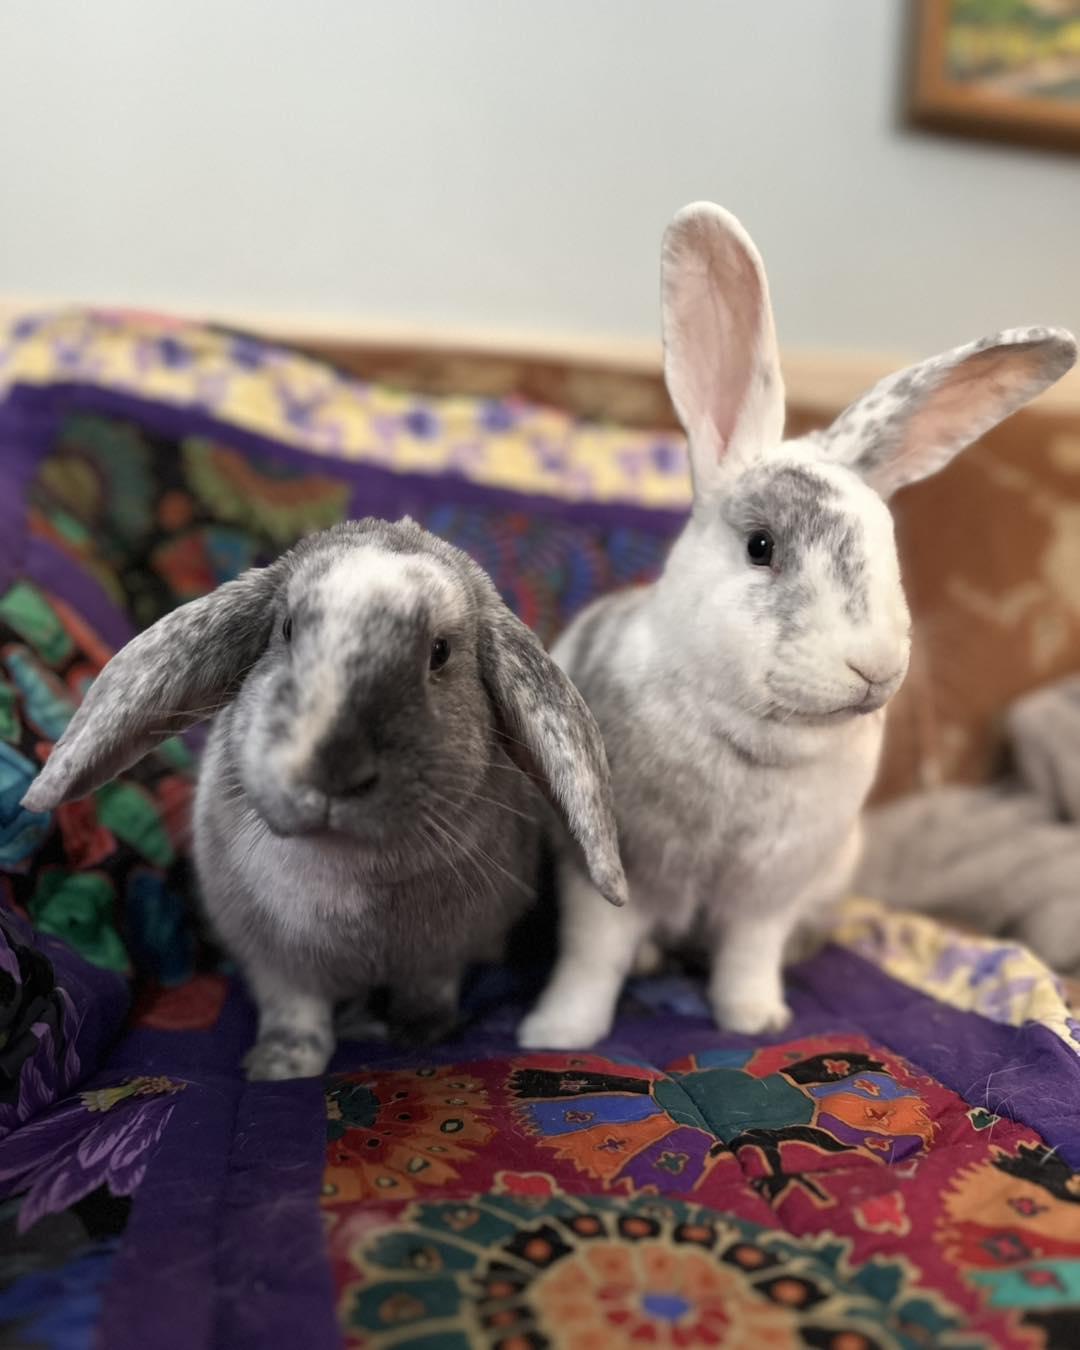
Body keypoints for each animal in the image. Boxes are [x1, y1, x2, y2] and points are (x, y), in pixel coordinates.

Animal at [21, 517, 627, 1079]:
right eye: (287, 630)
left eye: (440, 653)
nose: (335, 773)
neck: (347, 865)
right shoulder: (274, 962)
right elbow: (295, 1013)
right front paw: (279, 1067)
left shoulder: (442, 954)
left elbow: (428, 988)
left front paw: (420, 1033)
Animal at [518, 200, 1077, 1051]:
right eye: (761, 547)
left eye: (887, 544)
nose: (874, 667)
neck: (754, 741)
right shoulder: (605, 875)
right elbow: (592, 958)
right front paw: (557, 1034)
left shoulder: (769, 890)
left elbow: (749, 955)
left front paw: (755, 1019)